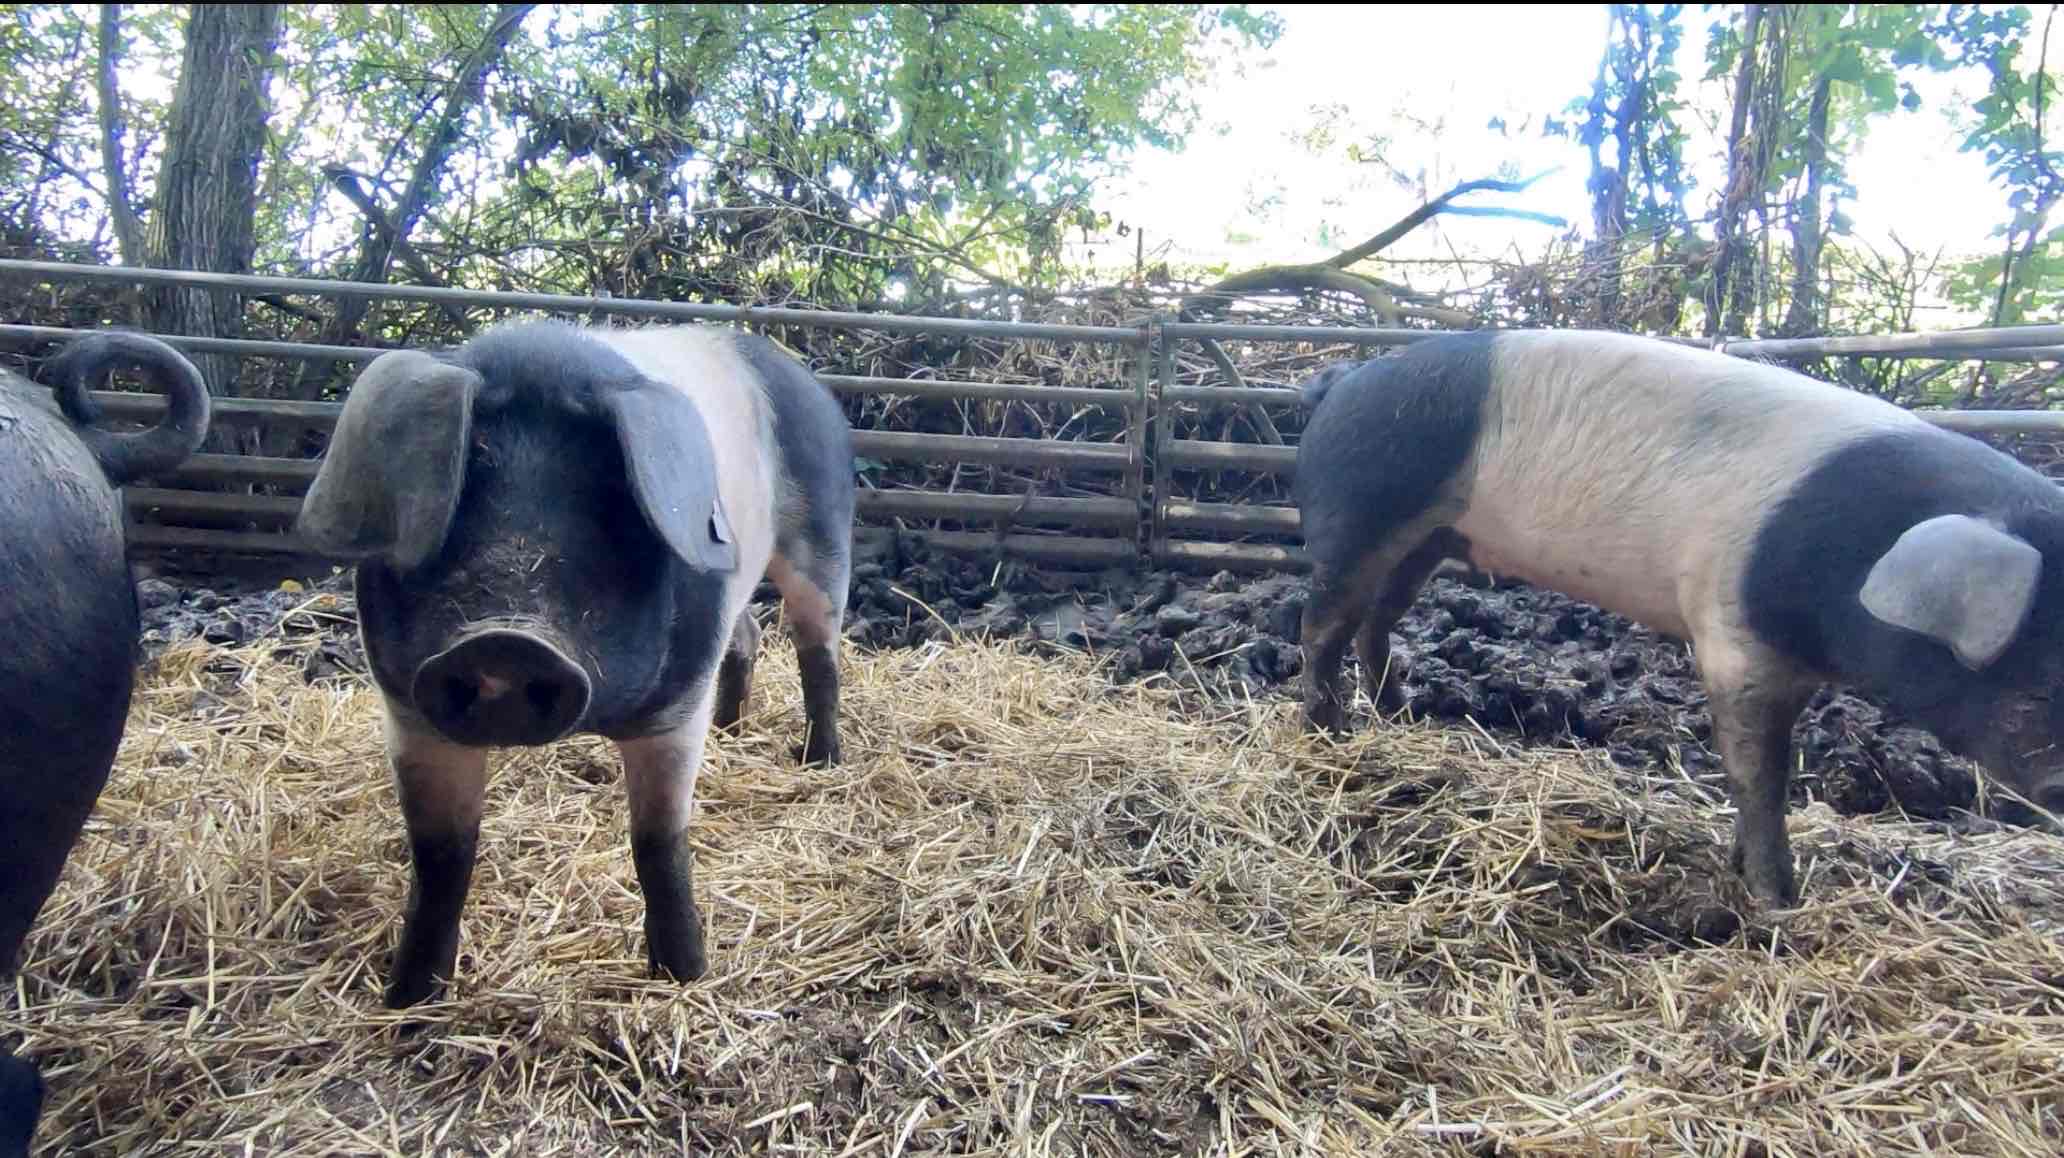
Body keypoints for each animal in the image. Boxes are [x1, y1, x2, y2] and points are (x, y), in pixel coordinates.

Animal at [295, 313, 850, 1003]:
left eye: (605, 503)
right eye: (470, 479)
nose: (504, 640)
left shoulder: (674, 709)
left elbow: (658, 845)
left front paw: (684, 979)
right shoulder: (410, 713)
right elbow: (441, 859)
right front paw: (408, 1002)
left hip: (822, 541)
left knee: (818, 652)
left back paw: (821, 761)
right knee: (746, 636)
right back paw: (731, 733)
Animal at [1296, 330, 2064, 908]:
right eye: (2041, 682)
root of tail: (1342, 381)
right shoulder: (1733, 636)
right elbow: (1759, 775)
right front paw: (1777, 903)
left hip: (1432, 536)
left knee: (1377, 619)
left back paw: (1399, 716)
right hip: (1360, 508)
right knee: (1322, 623)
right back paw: (1329, 733)